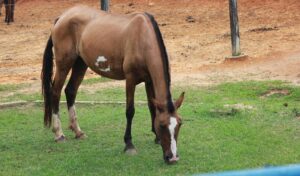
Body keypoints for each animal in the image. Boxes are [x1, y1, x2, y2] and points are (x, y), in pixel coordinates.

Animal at [41, 5, 184, 164]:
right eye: (162, 125)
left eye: (179, 124)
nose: (172, 157)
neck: (142, 37)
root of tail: (63, 17)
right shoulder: (130, 80)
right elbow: (130, 111)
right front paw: (129, 144)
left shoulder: (149, 80)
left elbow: (152, 107)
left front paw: (157, 138)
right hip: (64, 63)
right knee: (55, 92)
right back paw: (59, 133)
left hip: (80, 63)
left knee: (70, 91)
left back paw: (78, 131)